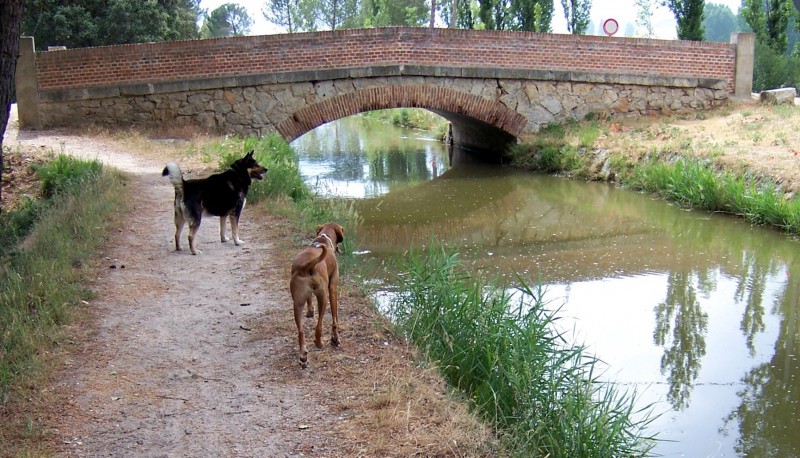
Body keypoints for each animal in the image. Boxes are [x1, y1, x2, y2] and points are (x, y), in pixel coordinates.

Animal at [292, 222, 346, 368]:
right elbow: (335, 319)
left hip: (297, 303)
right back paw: (319, 343)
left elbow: (310, 301)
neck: (323, 239)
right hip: (323, 297)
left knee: (301, 331)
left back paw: (303, 356)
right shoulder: (332, 289)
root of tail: (308, 265)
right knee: (319, 325)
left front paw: (310, 312)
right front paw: (335, 339)